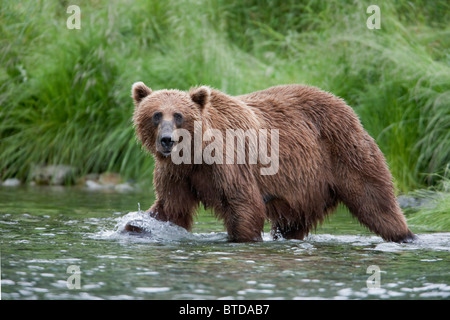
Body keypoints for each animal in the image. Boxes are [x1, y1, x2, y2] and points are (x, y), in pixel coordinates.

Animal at [128, 82, 416, 242]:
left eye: (178, 115)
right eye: (156, 115)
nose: (167, 140)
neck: (194, 155)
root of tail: (345, 105)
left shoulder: (228, 163)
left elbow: (244, 205)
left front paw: (240, 237)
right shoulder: (176, 174)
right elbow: (170, 209)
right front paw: (136, 226)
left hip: (344, 152)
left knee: (375, 201)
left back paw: (406, 236)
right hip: (304, 191)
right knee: (292, 224)